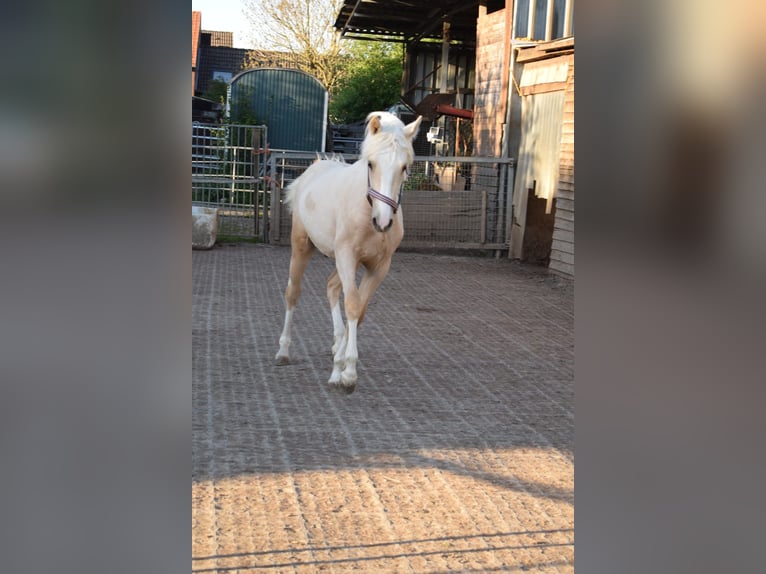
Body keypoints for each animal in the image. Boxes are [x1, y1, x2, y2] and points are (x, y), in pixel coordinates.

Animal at [275, 111, 422, 393]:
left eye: (404, 167)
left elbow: (360, 310)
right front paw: (348, 373)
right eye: (371, 164)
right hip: (302, 246)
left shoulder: (378, 266)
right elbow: (352, 305)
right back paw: (283, 351)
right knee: (293, 293)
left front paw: (340, 367)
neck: (366, 211)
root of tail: (315, 166)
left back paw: (336, 344)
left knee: (332, 287)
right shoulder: (347, 256)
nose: (383, 222)